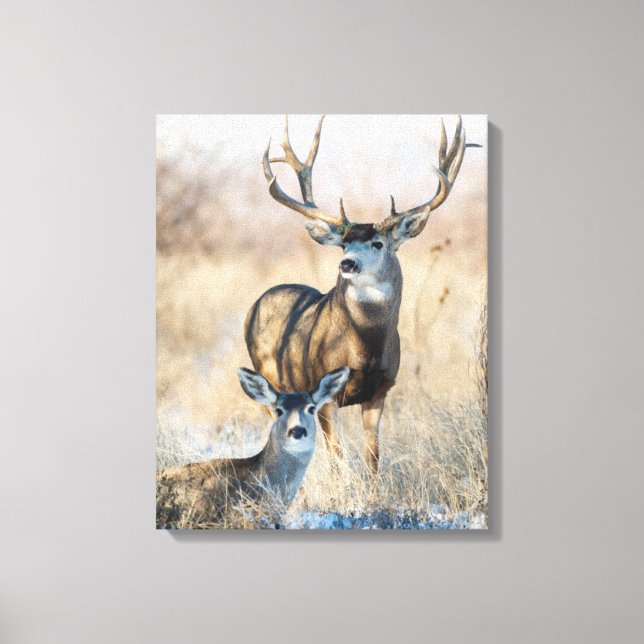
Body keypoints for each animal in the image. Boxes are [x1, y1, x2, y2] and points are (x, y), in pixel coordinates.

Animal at [245, 115, 478, 474]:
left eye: (377, 243)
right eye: (344, 244)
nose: (347, 263)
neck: (364, 348)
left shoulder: (380, 390)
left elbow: (372, 458)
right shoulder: (324, 394)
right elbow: (337, 458)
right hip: (271, 379)